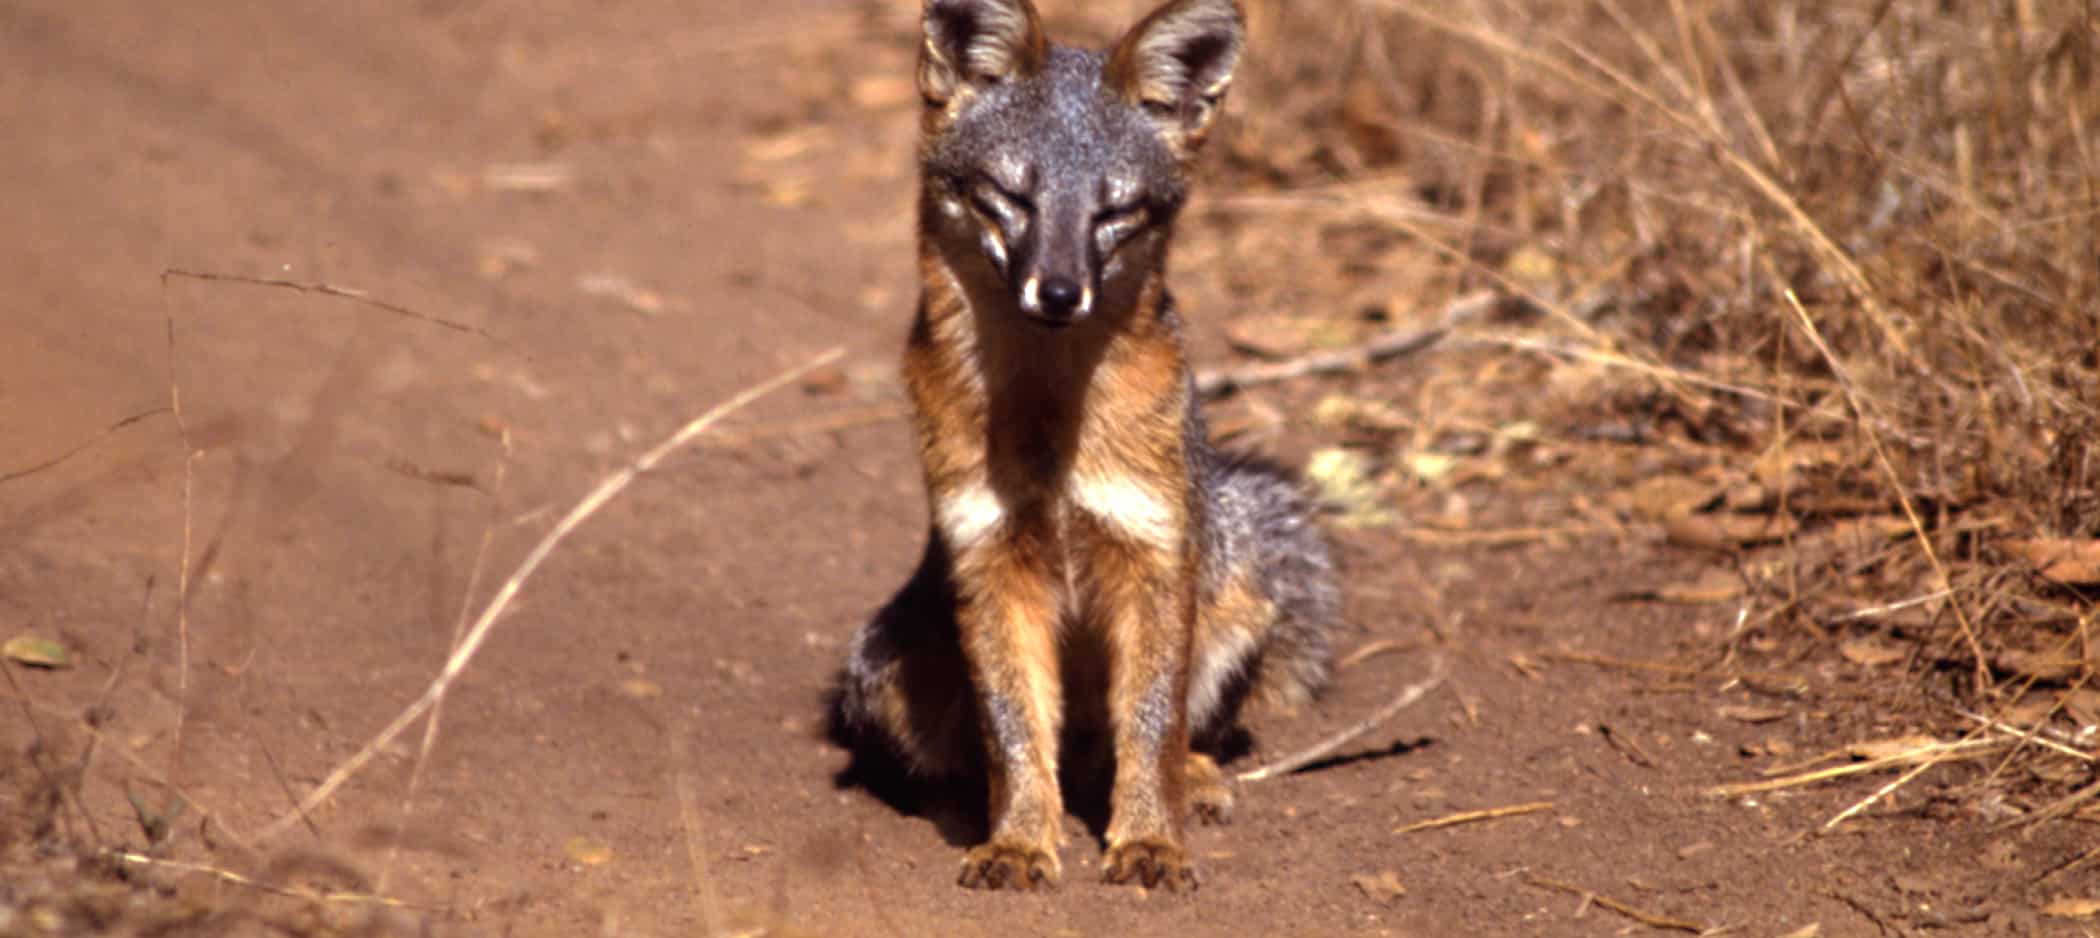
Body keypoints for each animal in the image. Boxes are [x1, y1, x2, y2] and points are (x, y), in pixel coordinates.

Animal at [827, 0, 1335, 893]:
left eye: (1113, 212)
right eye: (1012, 197)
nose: (1060, 292)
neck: (1047, 418)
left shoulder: (1153, 550)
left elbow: (1152, 722)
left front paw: (1150, 841)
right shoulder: (987, 557)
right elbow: (1014, 728)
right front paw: (1020, 841)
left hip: (1235, 594)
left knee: (1136, 746)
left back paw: (1191, 781)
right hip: (883, 666)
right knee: (988, 761)